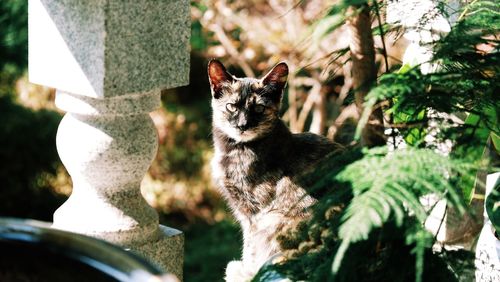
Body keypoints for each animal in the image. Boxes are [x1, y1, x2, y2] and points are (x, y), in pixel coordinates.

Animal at [207, 59, 340, 282]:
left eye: (259, 108)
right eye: (231, 106)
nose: (242, 125)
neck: (237, 150)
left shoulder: (255, 212)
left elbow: (250, 245)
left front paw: (248, 271)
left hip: (273, 219)